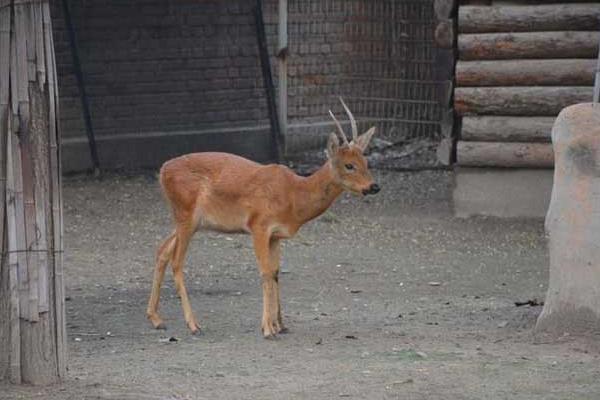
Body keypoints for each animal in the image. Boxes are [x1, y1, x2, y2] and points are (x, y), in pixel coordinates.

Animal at [146, 97, 380, 338]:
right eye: (349, 165)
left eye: (366, 162)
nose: (374, 186)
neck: (294, 195)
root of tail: (162, 171)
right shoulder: (258, 225)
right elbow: (265, 272)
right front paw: (268, 328)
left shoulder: (275, 235)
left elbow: (275, 273)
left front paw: (280, 324)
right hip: (186, 214)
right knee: (177, 262)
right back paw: (193, 325)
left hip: (188, 220)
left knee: (162, 251)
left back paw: (156, 319)